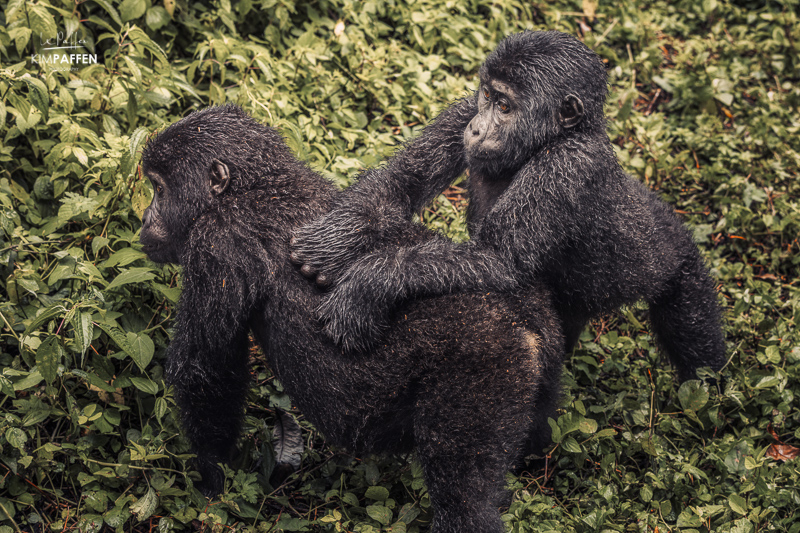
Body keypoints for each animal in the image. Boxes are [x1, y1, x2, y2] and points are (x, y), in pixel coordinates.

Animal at [139, 104, 564, 532]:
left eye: (158, 189)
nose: (144, 218)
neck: (261, 185)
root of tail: (526, 330)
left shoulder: (216, 242)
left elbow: (206, 373)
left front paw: (211, 479)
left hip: (487, 366)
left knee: (465, 501)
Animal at [292, 29, 724, 380]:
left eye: (505, 107)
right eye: (486, 96)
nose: (478, 129)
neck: (546, 140)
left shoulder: (568, 165)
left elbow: (497, 259)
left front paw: (369, 284)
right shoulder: (462, 111)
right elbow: (401, 181)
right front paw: (333, 241)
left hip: (680, 267)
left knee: (694, 333)